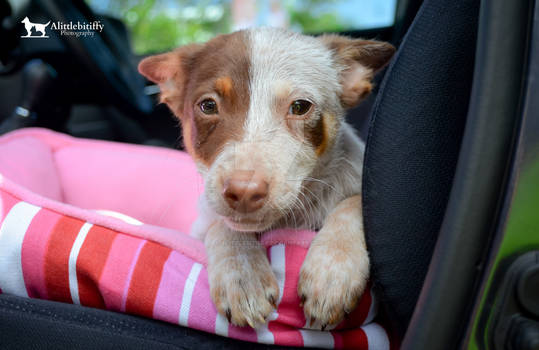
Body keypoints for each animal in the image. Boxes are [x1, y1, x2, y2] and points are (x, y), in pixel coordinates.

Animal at [137, 28, 394, 330]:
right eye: (208, 106)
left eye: (300, 106)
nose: (244, 192)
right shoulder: (204, 218)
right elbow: (221, 224)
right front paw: (243, 273)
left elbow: (353, 204)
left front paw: (332, 269)